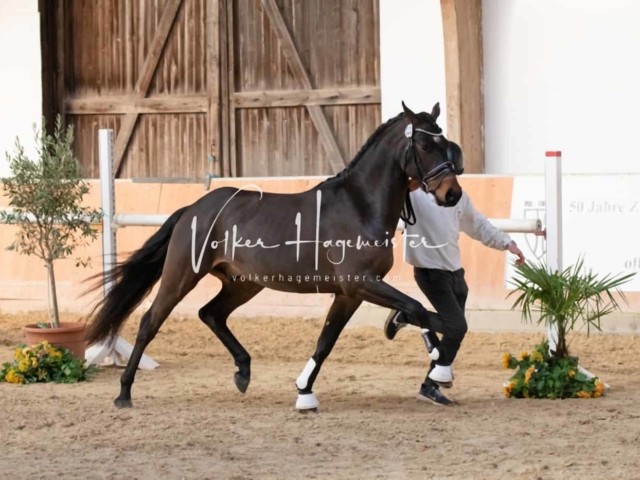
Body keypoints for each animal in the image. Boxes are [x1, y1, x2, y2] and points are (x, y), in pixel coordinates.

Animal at [86, 100, 464, 408]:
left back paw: (243, 371)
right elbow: (420, 309)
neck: (360, 205)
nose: (452, 194)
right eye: (425, 145)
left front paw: (305, 393)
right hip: (182, 275)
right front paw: (438, 362)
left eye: (446, 145)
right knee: (150, 321)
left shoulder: (349, 293)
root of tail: (193, 208)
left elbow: (327, 340)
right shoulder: (359, 283)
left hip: (244, 283)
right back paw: (124, 392)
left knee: (211, 314)